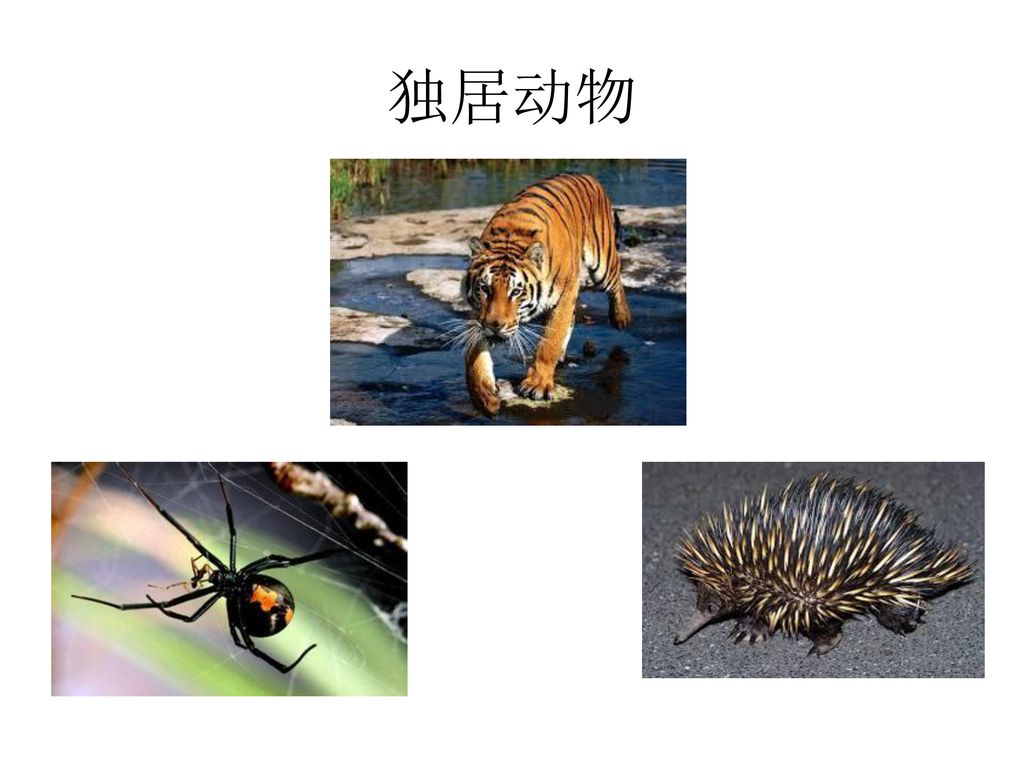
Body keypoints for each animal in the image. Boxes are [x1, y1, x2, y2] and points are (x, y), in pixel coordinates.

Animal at [460, 173, 632, 416]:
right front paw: (484, 398)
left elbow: (550, 341)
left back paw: (621, 317)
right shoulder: (478, 313)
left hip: (601, 262)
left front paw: (537, 385)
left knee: (616, 279)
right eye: (485, 288)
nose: (495, 325)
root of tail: (587, 175)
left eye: (516, 291)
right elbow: (473, 357)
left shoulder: (564, 295)